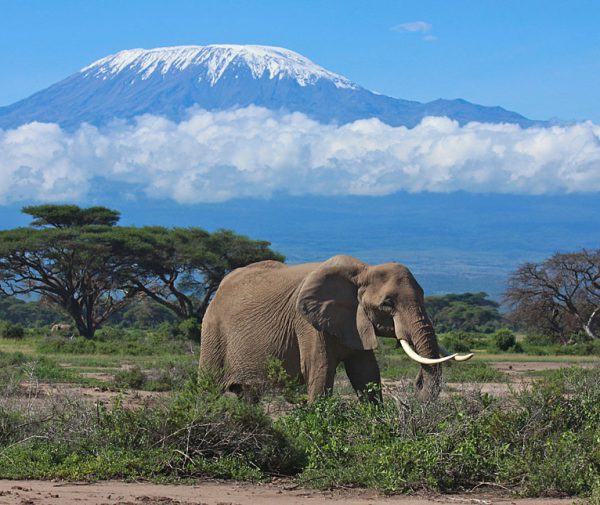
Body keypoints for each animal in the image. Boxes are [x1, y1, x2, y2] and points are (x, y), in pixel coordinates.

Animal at [202, 256, 474, 402]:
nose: (417, 383)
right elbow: (320, 372)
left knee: (248, 395)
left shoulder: (355, 322)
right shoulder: (307, 323)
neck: (363, 271)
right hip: (212, 330)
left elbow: (367, 374)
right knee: (208, 386)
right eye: (387, 304)